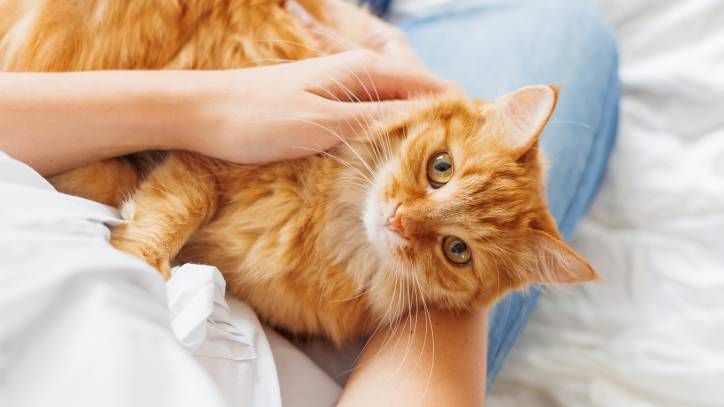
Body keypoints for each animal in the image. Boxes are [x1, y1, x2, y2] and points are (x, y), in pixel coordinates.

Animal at [0, 0, 596, 344]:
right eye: (441, 168)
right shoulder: (213, 141)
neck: (326, 221)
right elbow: (180, 199)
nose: (398, 219)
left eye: (457, 251)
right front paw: (137, 255)